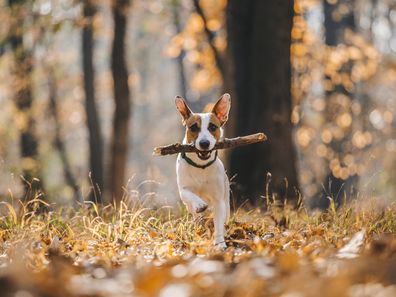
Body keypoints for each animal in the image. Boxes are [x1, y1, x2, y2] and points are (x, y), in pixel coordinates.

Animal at [174, 93, 230, 247]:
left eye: (213, 127)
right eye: (193, 127)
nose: (204, 143)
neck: (201, 166)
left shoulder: (218, 200)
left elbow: (218, 224)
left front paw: (220, 244)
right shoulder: (183, 189)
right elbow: (189, 194)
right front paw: (199, 204)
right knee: (196, 216)